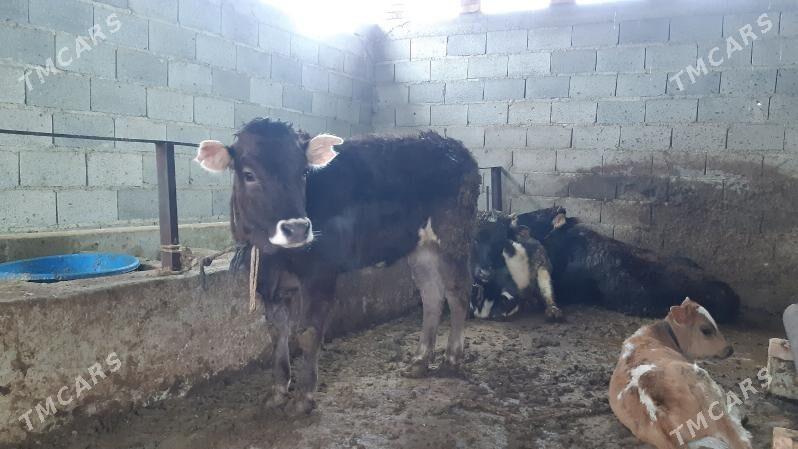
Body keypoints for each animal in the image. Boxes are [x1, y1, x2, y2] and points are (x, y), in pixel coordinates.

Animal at [195, 118, 480, 415]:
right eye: (249, 174)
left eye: (303, 173)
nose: (297, 228)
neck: (275, 256)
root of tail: (453, 146)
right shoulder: (268, 281)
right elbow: (277, 332)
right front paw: (277, 391)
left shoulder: (320, 273)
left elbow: (308, 333)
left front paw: (303, 398)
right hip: (421, 247)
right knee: (432, 296)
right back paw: (420, 361)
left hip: (454, 235)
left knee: (458, 293)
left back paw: (451, 358)